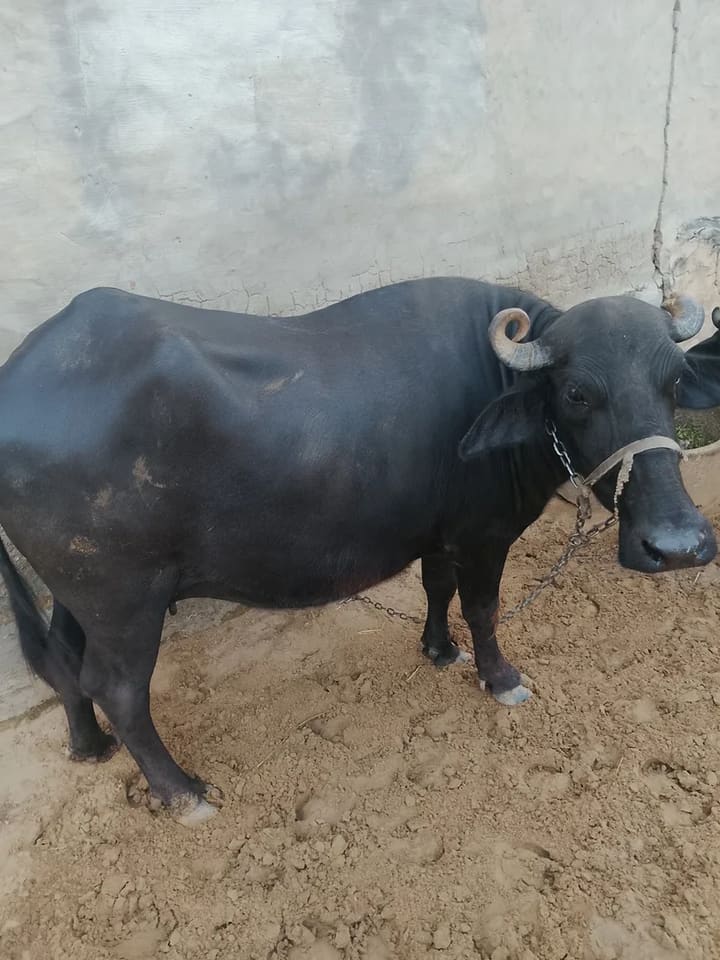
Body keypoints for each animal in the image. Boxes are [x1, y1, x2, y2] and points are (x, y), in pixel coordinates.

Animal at [0, 278, 715, 823]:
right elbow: (482, 609)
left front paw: (439, 649)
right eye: (577, 393)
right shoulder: (484, 536)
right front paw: (501, 678)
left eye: (675, 383)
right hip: (121, 597)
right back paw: (182, 793)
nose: (677, 545)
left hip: (74, 593)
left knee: (64, 662)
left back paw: (88, 743)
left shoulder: (439, 533)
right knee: (117, 687)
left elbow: (436, 589)